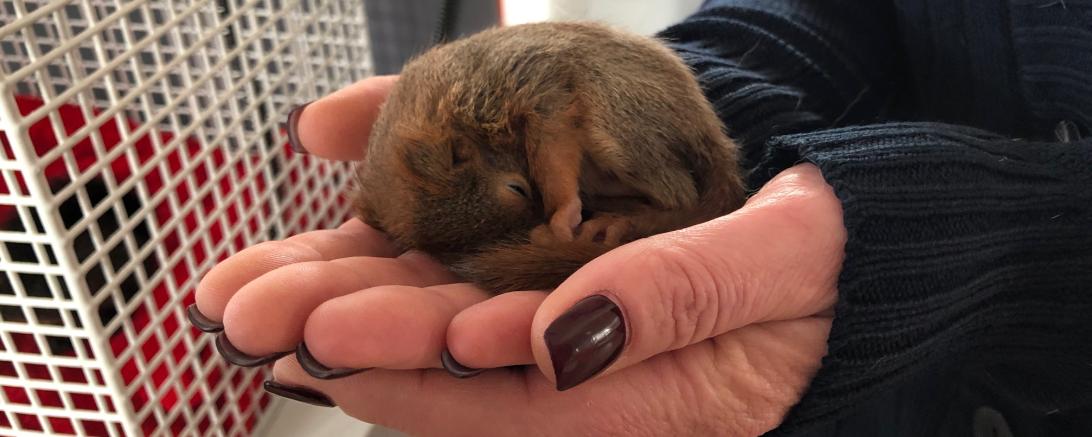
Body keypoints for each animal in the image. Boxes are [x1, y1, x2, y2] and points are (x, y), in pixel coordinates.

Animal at [351, 22, 747, 294]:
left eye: (518, 188)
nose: (539, 225)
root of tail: (711, 136)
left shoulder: (541, 88)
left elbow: (553, 148)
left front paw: (562, 215)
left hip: (618, 123)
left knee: (680, 195)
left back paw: (625, 220)